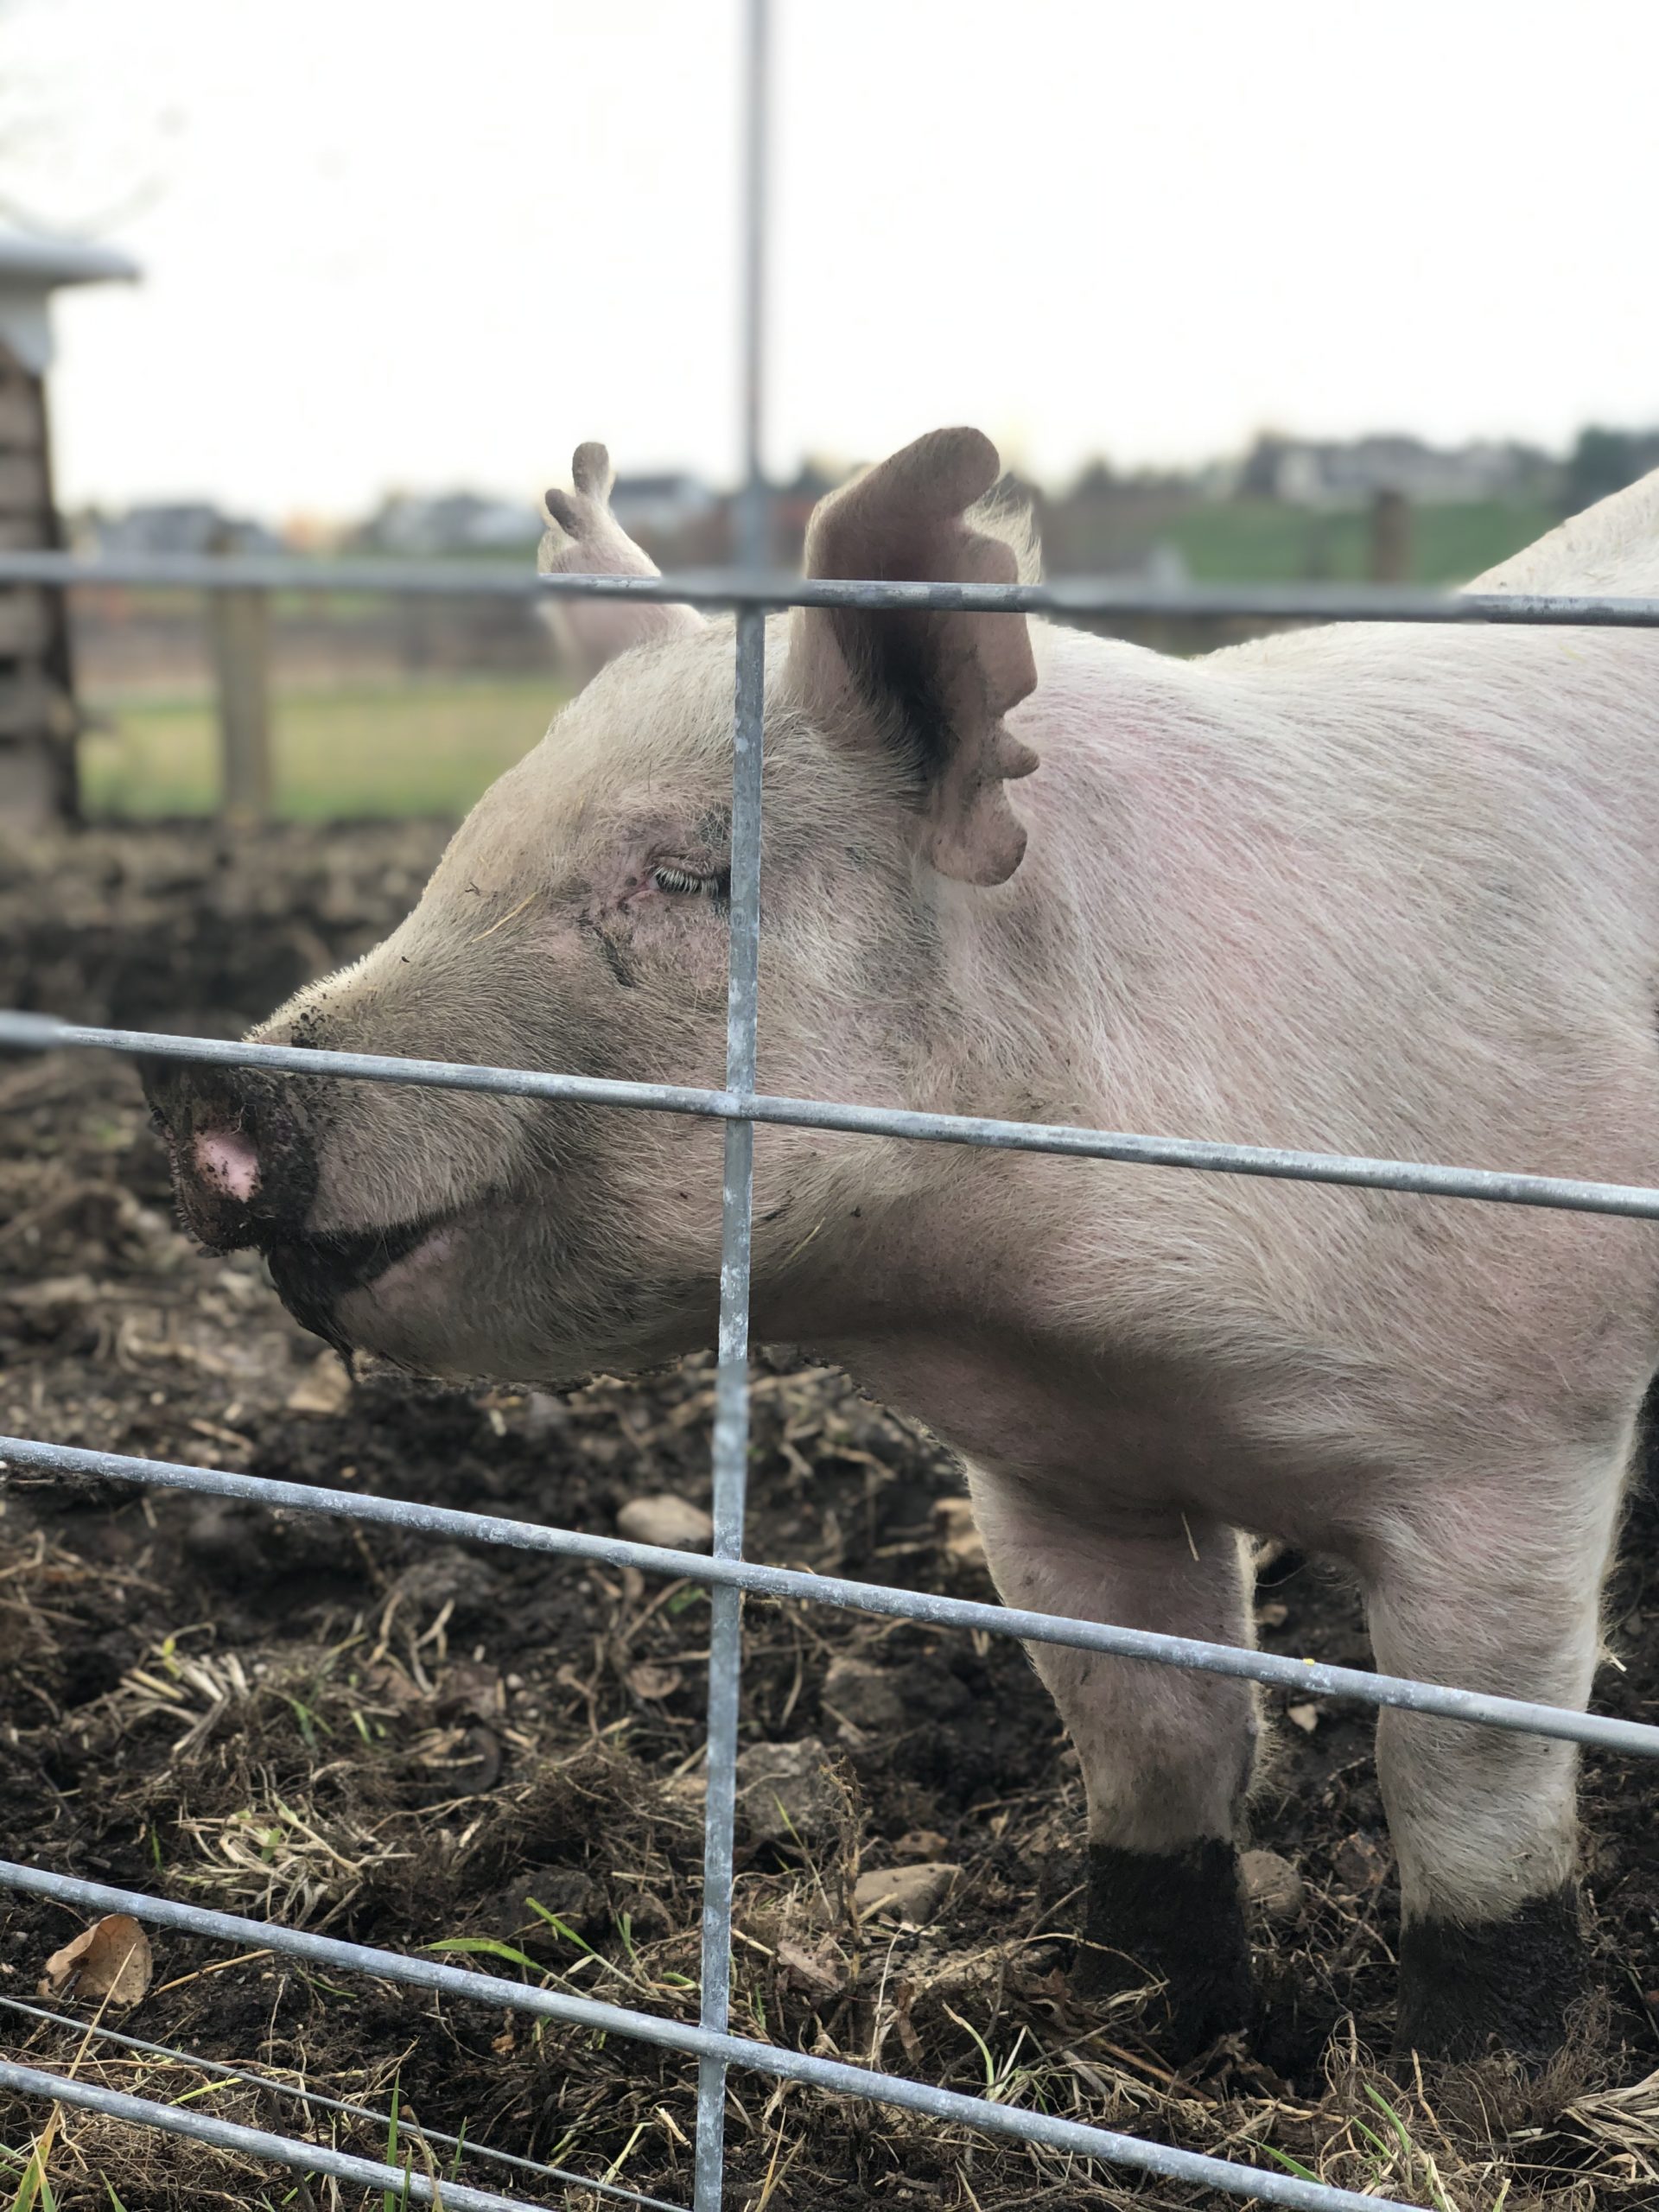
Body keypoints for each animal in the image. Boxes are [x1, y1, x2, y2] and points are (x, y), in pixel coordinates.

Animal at [146, 428, 1659, 2068]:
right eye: (464, 849)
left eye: (692, 873)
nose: (208, 1084)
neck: (1100, 1334)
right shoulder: (1056, 1478)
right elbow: (1143, 1732)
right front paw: (1135, 2021)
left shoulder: (1520, 1434)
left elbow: (1461, 1771)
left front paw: (1488, 2081)